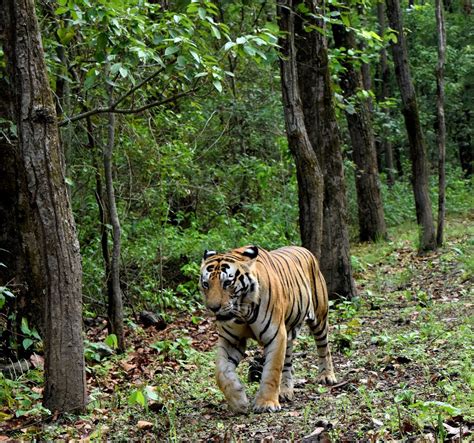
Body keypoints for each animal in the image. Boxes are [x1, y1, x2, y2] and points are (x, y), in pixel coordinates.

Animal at [200, 245, 336, 414]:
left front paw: (266, 403)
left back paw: (326, 376)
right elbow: (221, 372)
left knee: (324, 348)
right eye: (206, 284)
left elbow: (272, 371)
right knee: (288, 363)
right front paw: (239, 401)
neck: (243, 312)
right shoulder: (231, 340)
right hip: (288, 332)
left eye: (227, 283)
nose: (213, 308)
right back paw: (285, 391)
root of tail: (305, 249)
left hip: (319, 317)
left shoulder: (275, 335)